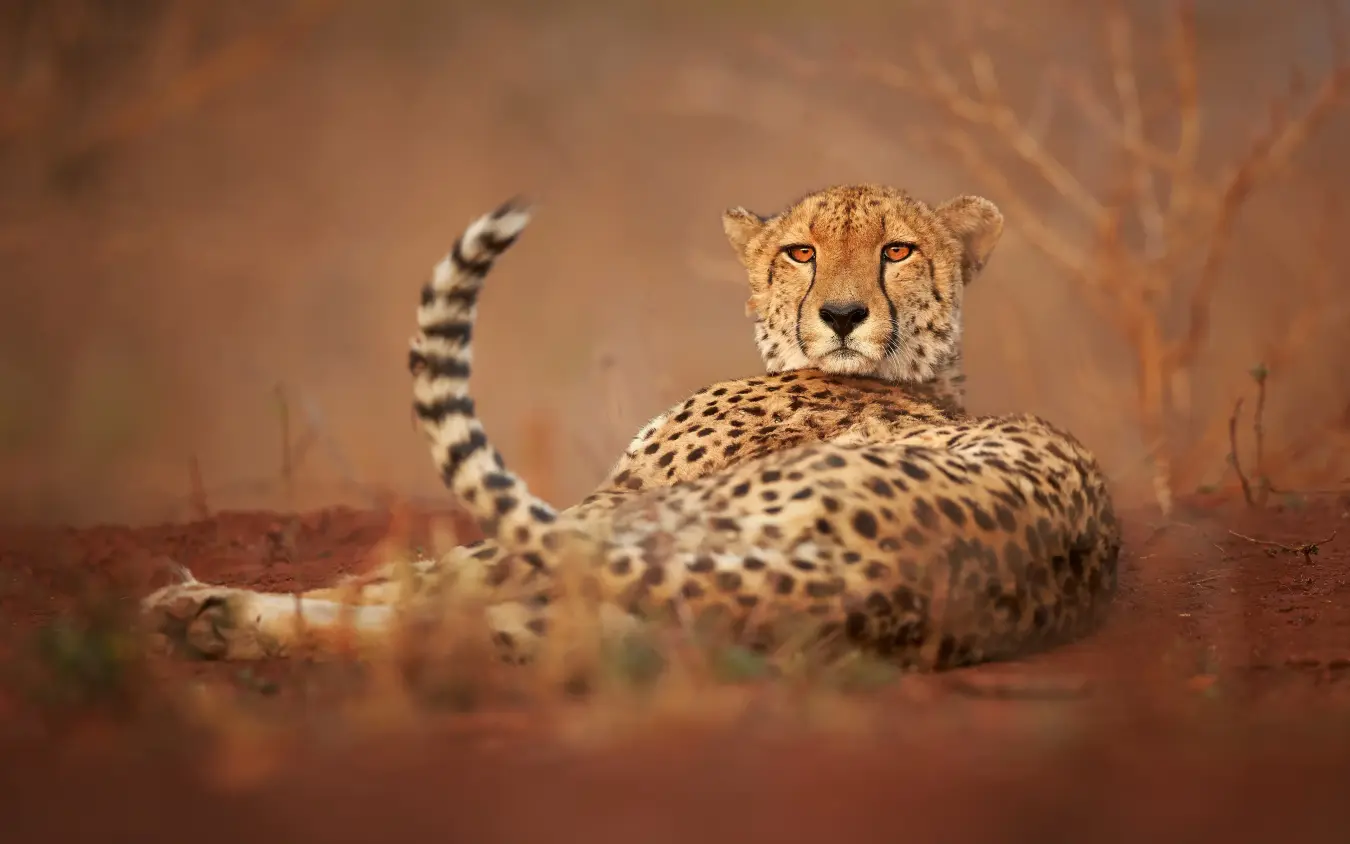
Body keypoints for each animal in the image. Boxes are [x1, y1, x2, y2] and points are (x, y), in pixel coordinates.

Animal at [141, 184, 1120, 672]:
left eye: (898, 251)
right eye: (800, 251)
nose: (842, 316)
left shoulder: (608, 504)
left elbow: (409, 572)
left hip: (645, 529)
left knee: (447, 597)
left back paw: (208, 609)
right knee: (490, 632)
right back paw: (214, 624)